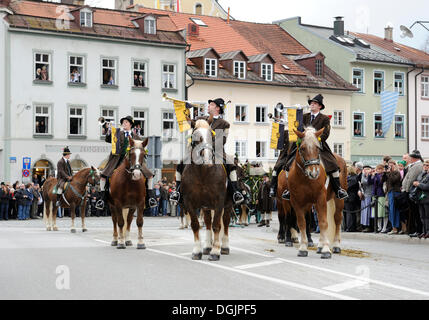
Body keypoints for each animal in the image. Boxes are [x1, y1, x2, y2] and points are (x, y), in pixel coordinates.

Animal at [181, 117, 234, 260]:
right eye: (195, 138)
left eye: (212, 137)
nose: (208, 159)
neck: (203, 172)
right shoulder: (189, 202)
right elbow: (195, 225)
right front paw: (197, 251)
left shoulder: (219, 201)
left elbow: (217, 225)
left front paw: (215, 252)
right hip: (206, 207)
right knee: (208, 223)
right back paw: (207, 247)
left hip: (227, 205)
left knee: (225, 223)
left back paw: (224, 247)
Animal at [286, 126, 346, 258]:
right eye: (302, 148)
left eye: (317, 148)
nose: (313, 173)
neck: (305, 179)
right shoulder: (297, 202)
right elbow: (302, 223)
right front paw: (303, 248)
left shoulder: (320, 198)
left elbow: (323, 222)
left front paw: (326, 250)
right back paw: (320, 246)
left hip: (338, 200)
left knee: (337, 219)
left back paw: (336, 245)